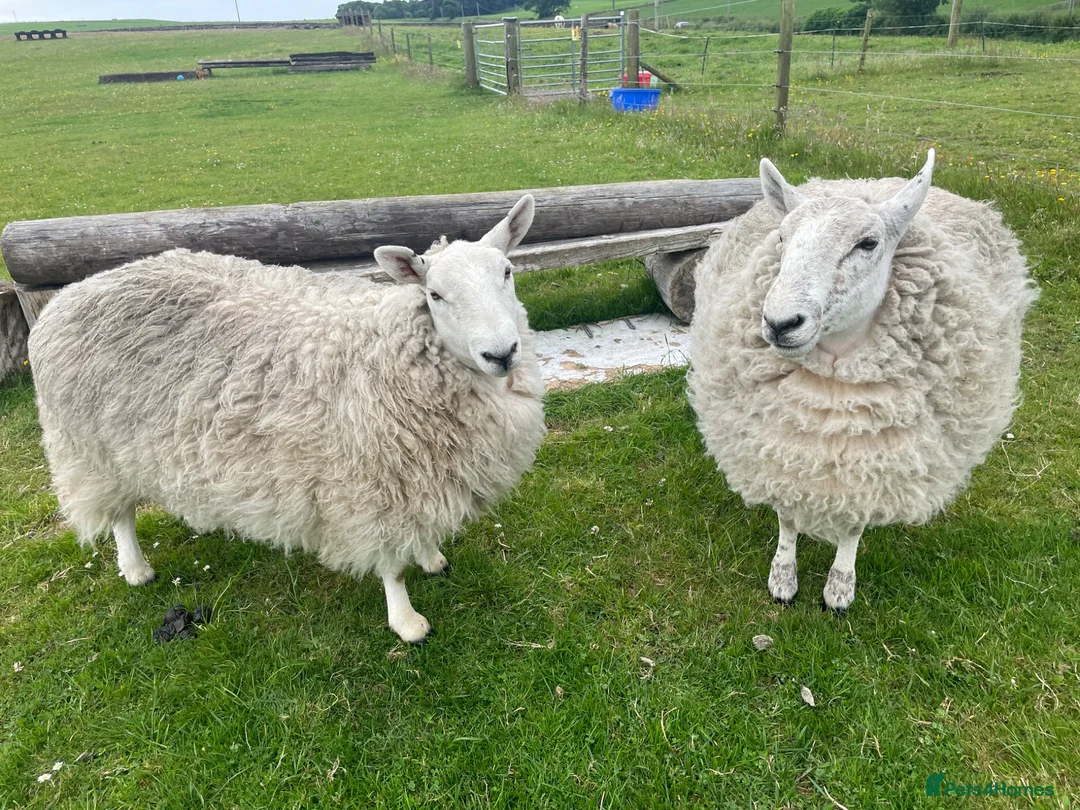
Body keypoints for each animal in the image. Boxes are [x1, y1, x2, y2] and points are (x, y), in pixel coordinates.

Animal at [28, 195, 546, 643]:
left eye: (507, 271)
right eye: (435, 294)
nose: (501, 353)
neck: (385, 345)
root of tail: (79, 288)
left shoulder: (418, 475)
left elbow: (420, 528)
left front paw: (431, 557)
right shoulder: (369, 485)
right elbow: (391, 567)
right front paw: (407, 621)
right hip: (90, 447)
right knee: (120, 515)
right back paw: (136, 568)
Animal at [687, 151, 1038, 611]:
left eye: (868, 243)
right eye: (781, 238)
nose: (780, 323)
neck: (833, 381)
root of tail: (869, 182)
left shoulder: (870, 461)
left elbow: (853, 527)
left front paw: (839, 587)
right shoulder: (780, 443)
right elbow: (786, 514)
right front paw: (783, 577)